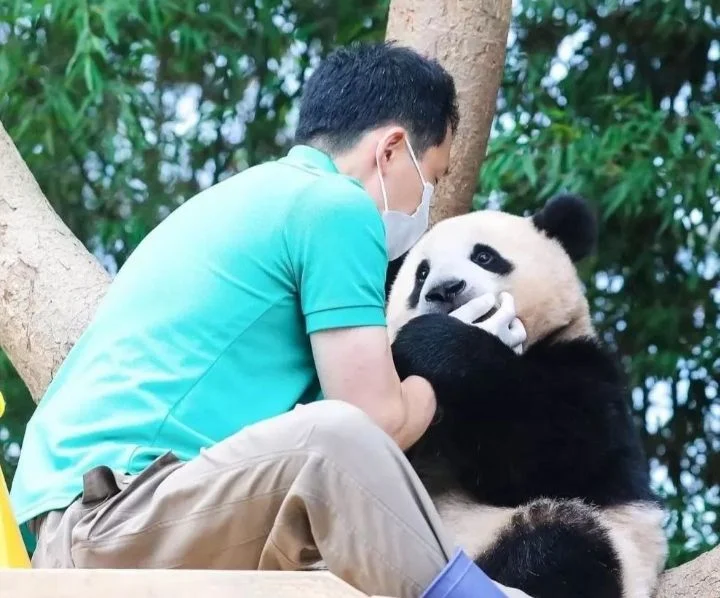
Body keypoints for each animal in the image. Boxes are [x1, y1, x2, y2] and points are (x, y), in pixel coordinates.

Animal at [388, 196, 668, 598]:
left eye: (485, 256)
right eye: (421, 274)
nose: (445, 289)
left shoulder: (586, 368)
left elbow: (561, 451)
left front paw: (433, 342)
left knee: (558, 542)